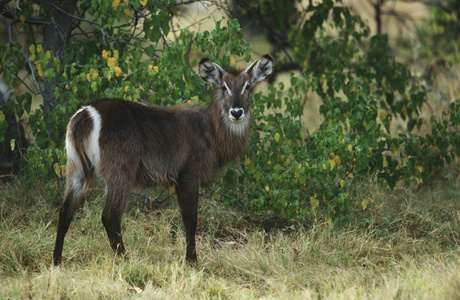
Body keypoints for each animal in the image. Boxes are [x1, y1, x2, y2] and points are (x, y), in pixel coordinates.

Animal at [53, 54, 274, 264]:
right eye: (224, 87)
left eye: (247, 87)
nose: (236, 112)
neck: (212, 130)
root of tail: (85, 114)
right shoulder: (188, 174)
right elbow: (190, 219)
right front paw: (192, 261)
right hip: (120, 171)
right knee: (110, 216)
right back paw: (125, 260)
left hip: (75, 167)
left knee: (65, 210)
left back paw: (57, 261)